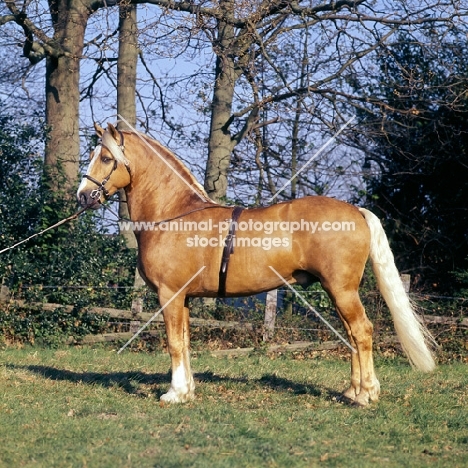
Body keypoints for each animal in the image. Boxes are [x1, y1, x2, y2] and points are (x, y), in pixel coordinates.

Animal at [77, 123, 436, 406]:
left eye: (106, 158)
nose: (83, 196)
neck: (174, 214)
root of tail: (356, 211)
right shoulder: (185, 299)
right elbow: (186, 342)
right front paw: (188, 390)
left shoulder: (170, 295)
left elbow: (175, 343)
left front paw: (174, 393)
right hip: (339, 292)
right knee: (351, 333)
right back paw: (353, 390)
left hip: (342, 290)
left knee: (361, 331)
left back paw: (366, 394)